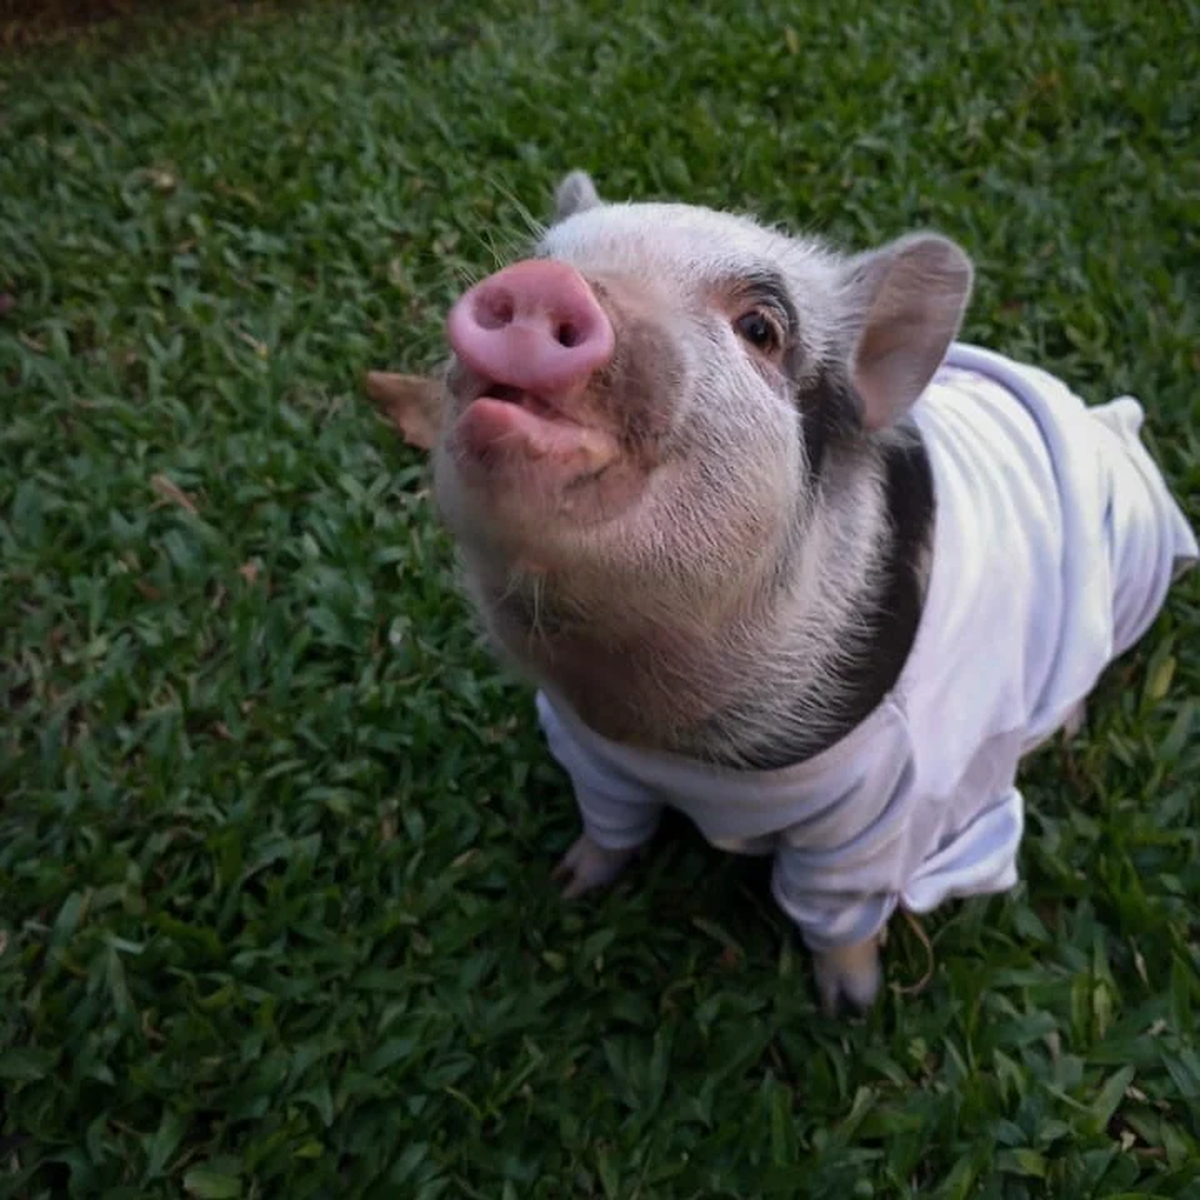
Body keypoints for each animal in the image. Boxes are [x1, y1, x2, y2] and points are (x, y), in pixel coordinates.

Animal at [366, 170, 1197, 1016]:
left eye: (761, 328)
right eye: (549, 255)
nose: (541, 283)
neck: (659, 725)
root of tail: (1110, 424)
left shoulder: (876, 820)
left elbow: (837, 912)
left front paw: (851, 1008)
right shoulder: (590, 750)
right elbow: (608, 827)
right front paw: (568, 886)